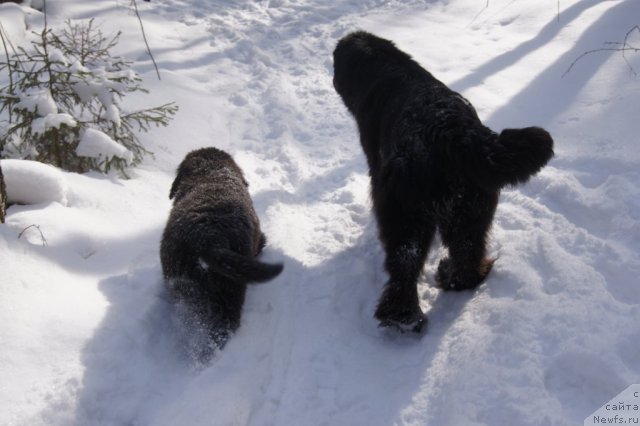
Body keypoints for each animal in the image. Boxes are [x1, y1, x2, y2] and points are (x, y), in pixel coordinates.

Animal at [332, 31, 552, 334]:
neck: (385, 67)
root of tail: (453, 137)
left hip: (408, 214)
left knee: (404, 265)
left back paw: (401, 318)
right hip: (471, 210)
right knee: (466, 253)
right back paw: (455, 276)